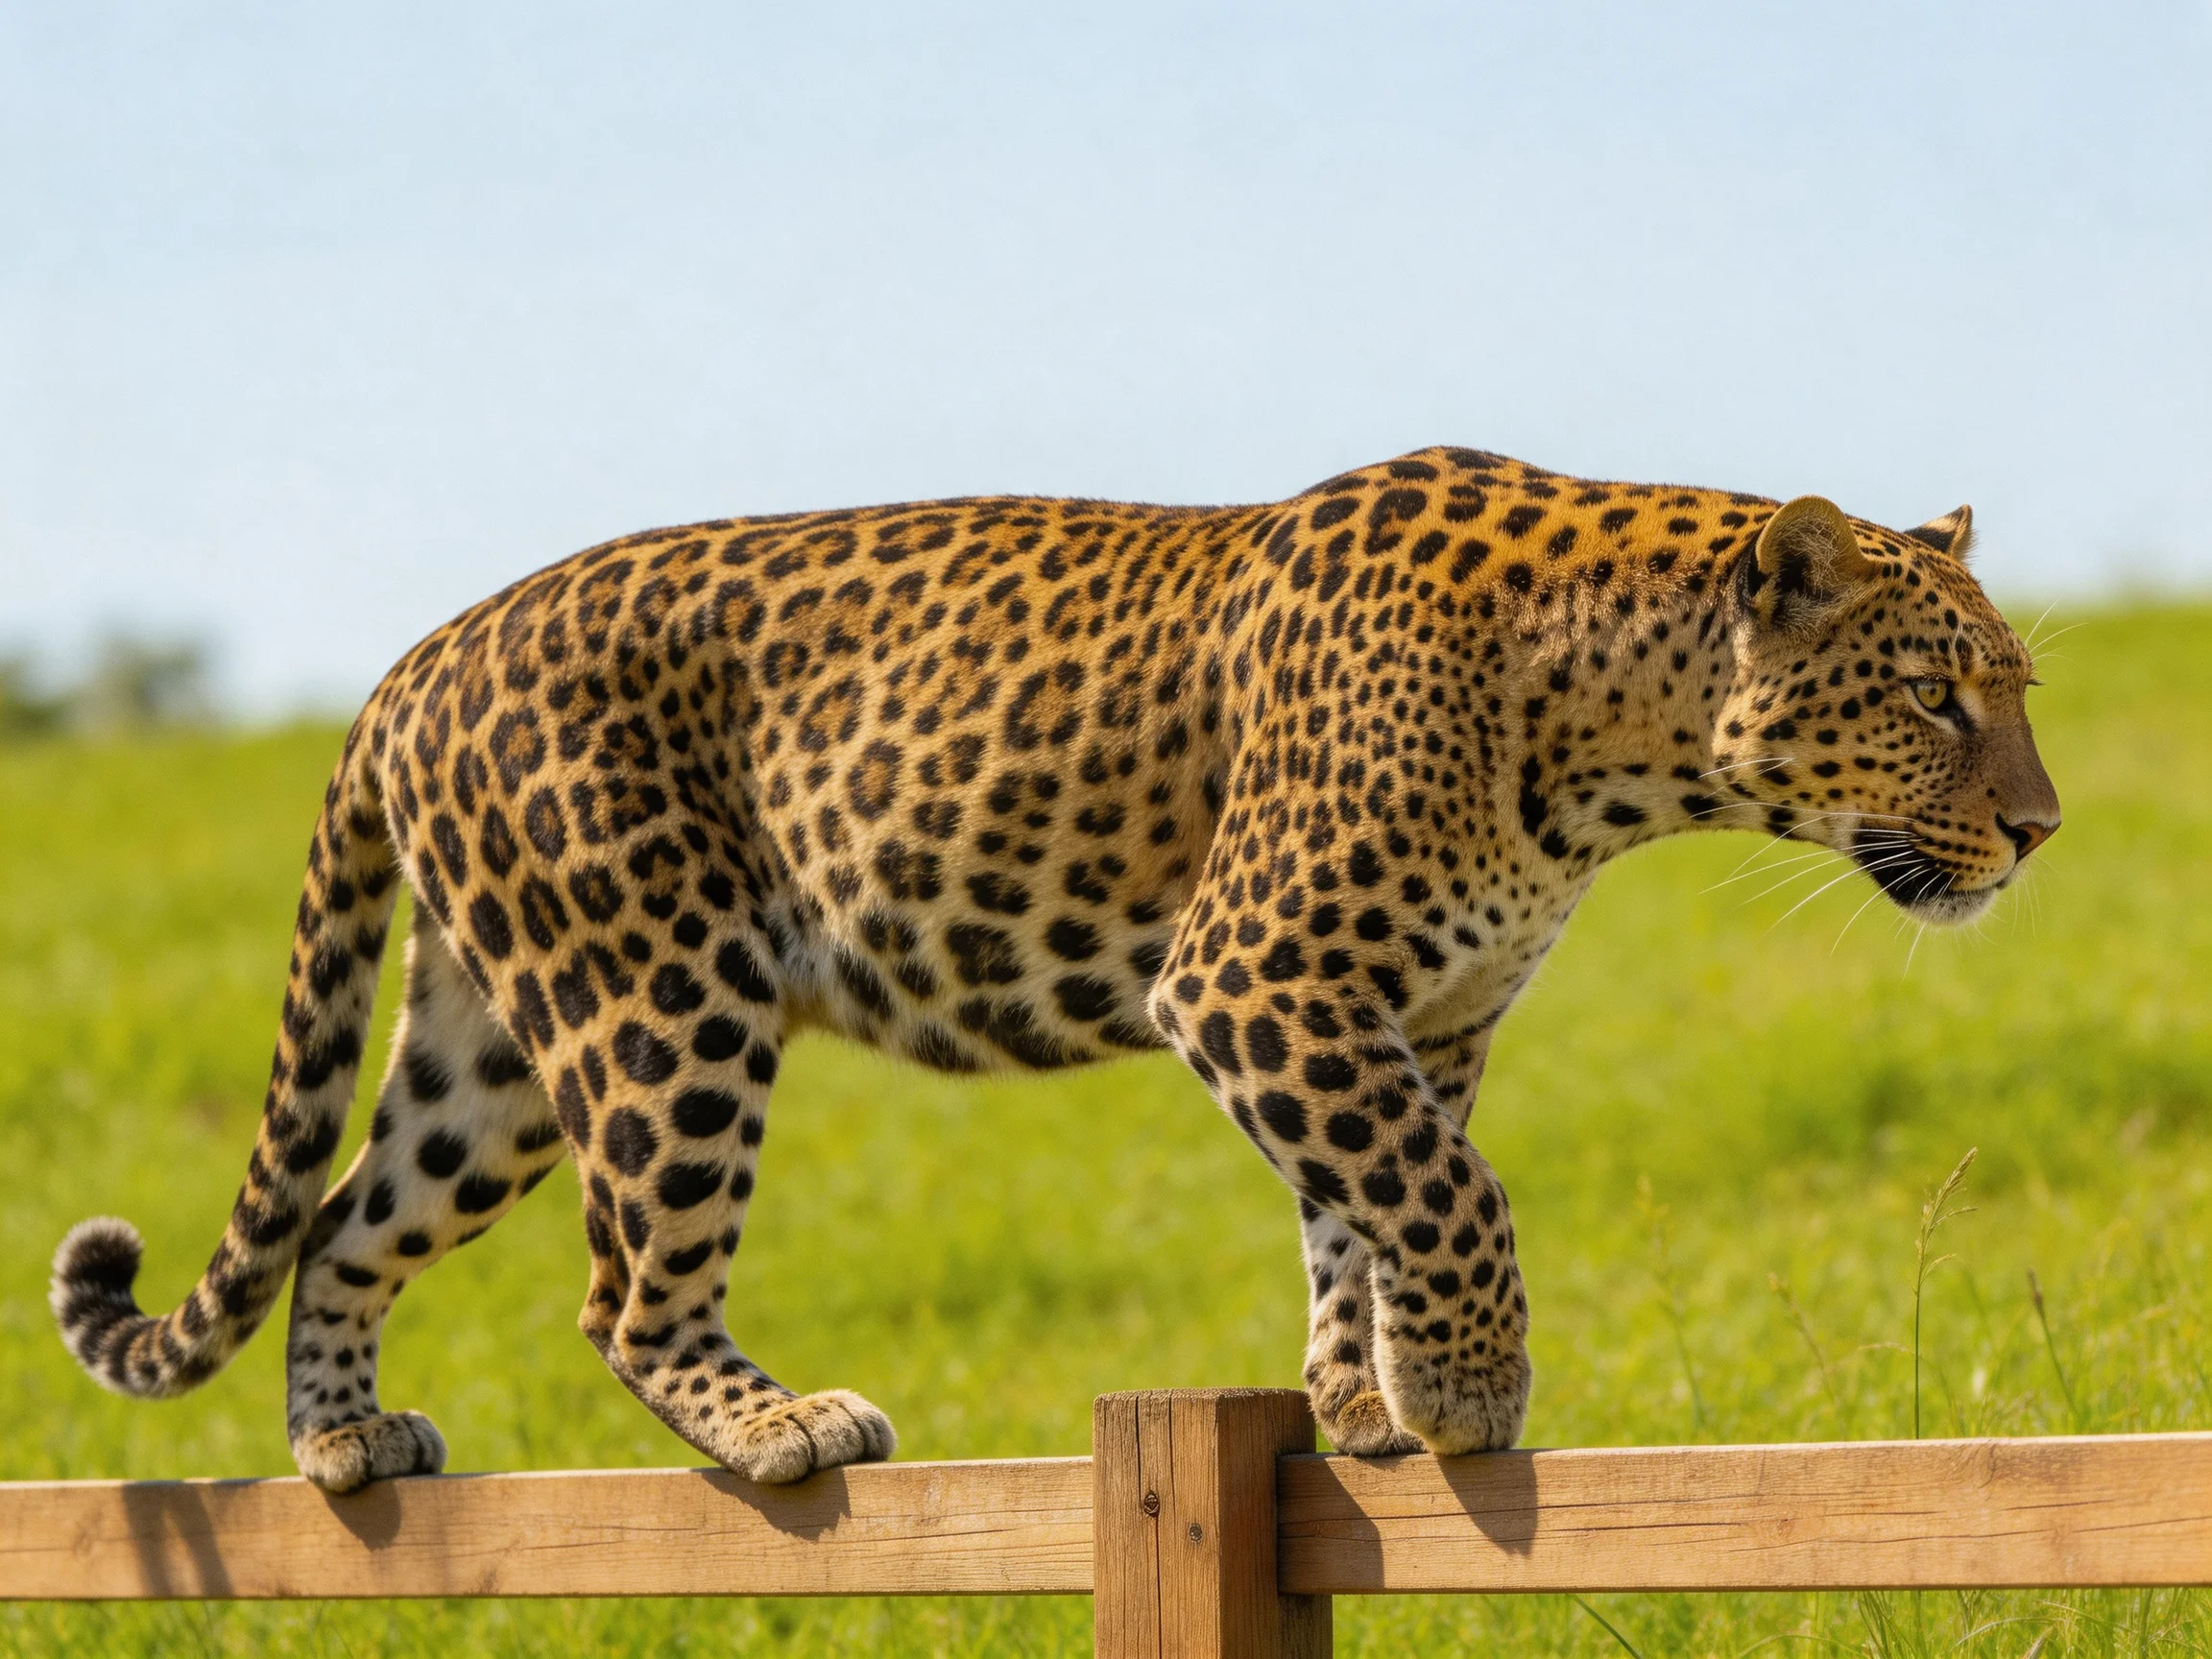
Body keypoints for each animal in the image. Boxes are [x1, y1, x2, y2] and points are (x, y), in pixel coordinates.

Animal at [51, 446, 2060, 1493]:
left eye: (2012, 688)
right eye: (1927, 693)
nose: (2039, 830)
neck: (1614, 742)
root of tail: (406, 659)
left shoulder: (1409, 1019)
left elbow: (1360, 1211)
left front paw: (1357, 1403)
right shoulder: (1255, 978)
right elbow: (1445, 1192)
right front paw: (1467, 1391)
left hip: (489, 1045)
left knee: (342, 1218)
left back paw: (343, 1443)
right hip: (656, 1003)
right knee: (623, 1289)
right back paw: (781, 1423)